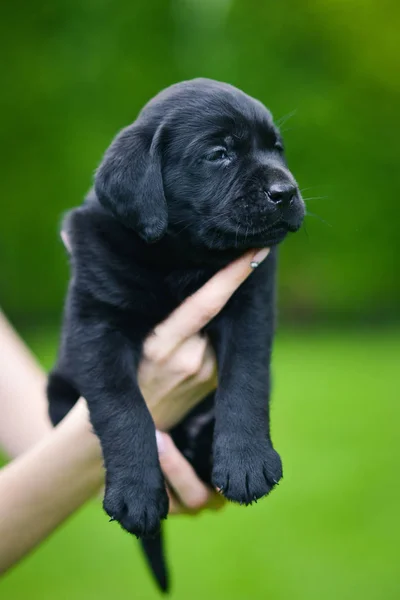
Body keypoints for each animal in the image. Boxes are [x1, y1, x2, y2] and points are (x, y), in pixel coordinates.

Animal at [46, 78, 304, 592]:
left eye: (277, 148)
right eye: (219, 153)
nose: (286, 191)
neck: (180, 258)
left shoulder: (250, 304)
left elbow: (246, 379)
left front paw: (246, 460)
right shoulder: (96, 324)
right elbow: (121, 405)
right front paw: (135, 492)